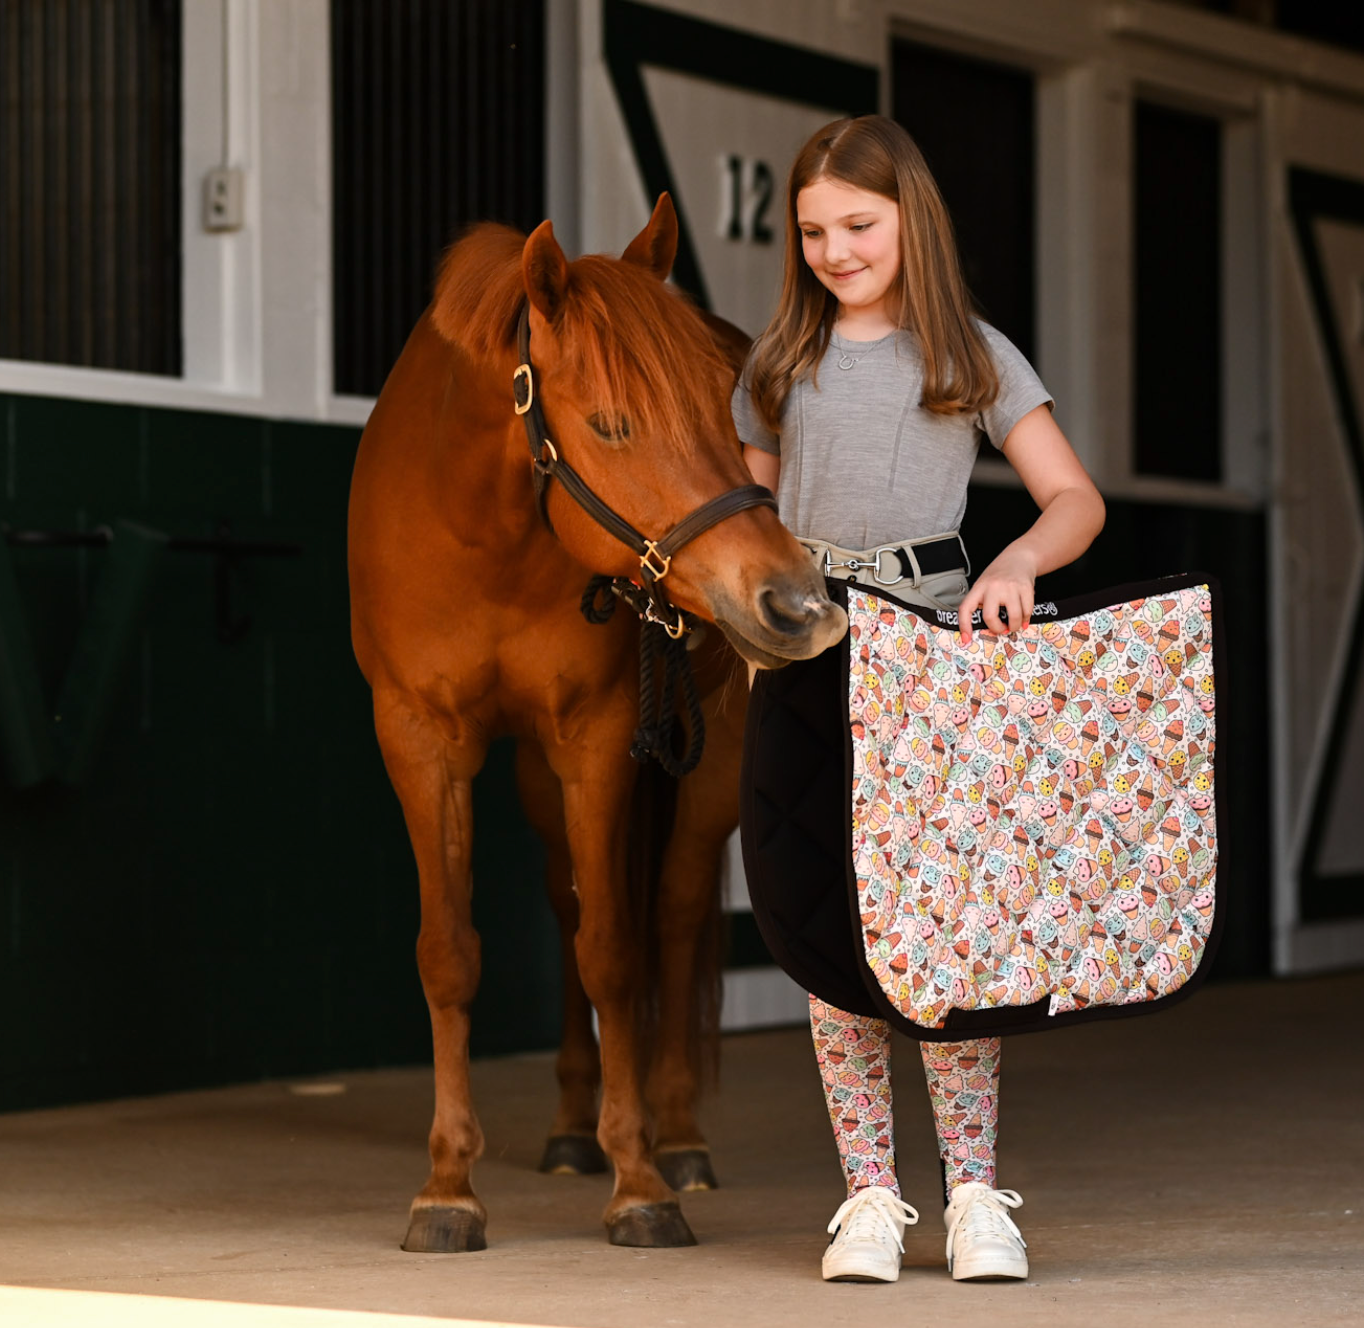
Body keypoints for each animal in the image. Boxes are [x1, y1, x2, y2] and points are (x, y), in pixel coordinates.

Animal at [347, 195, 847, 1251]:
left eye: (728, 413)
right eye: (613, 426)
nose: (796, 605)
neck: (484, 535)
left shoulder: (599, 738)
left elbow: (617, 953)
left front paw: (641, 1181)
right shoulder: (419, 739)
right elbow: (451, 954)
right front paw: (447, 1188)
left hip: (701, 765)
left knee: (674, 914)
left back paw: (678, 1136)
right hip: (540, 781)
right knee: (567, 899)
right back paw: (574, 1128)